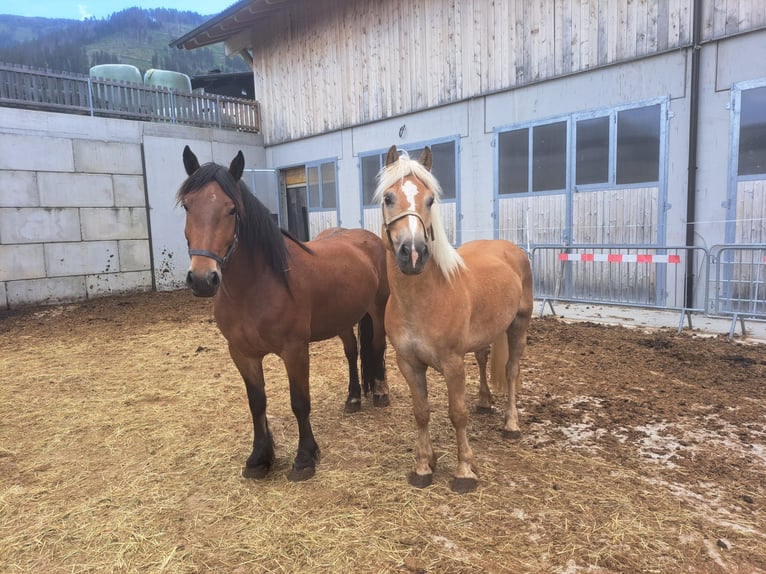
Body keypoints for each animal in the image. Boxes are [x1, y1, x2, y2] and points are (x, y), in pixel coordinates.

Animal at [178, 147, 390, 482]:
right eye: (188, 206)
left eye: (232, 210)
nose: (202, 279)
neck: (255, 287)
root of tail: (368, 238)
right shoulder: (242, 353)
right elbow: (256, 403)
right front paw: (259, 458)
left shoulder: (294, 350)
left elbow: (300, 402)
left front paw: (305, 458)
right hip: (344, 319)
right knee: (352, 352)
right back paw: (354, 398)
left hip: (378, 308)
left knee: (378, 347)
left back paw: (381, 393)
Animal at [374, 145, 536, 496]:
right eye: (389, 197)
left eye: (430, 199)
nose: (413, 253)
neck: (421, 301)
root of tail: (510, 249)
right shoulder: (408, 363)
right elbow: (421, 412)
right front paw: (424, 466)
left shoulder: (452, 363)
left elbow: (457, 414)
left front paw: (464, 471)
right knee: (483, 357)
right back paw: (485, 402)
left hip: (519, 325)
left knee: (512, 370)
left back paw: (511, 424)